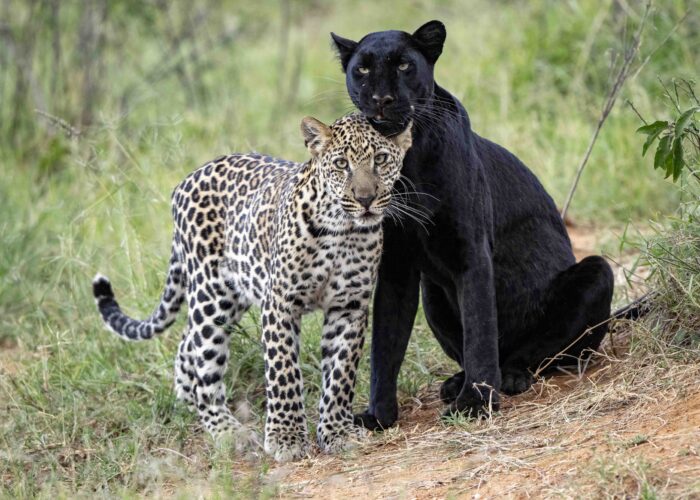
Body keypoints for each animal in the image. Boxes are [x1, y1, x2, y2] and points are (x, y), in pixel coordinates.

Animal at [91, 112, 412, 462]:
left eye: (380, 159)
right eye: (341, 164)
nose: (365, 199)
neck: (343, 231)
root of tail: (185, 181)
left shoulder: (349, 305)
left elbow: (340, 374)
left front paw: (337, 432)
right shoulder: (280, 301)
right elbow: (283, 370)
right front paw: (286, 438)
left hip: (234, 294)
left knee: (187, 342)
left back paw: (187, 399)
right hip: (212, 295)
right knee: (203, 361)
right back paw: (228, 431)